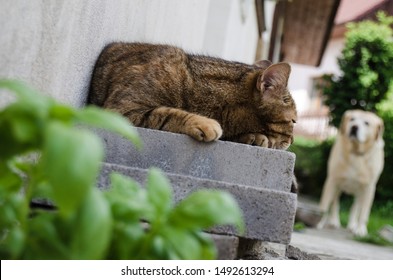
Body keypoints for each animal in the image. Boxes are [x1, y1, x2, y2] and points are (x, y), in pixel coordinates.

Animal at [89, 42, 296, 150]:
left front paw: (254, 137)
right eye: (294, 121)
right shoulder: (121, 110)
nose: (293, 141)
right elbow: (167, 113)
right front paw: (204, 123)